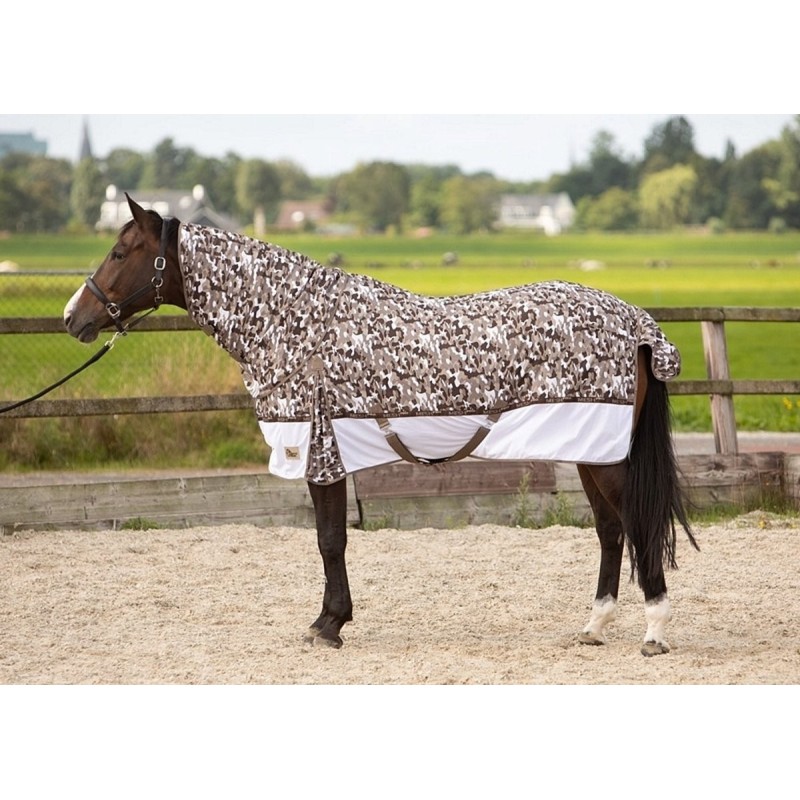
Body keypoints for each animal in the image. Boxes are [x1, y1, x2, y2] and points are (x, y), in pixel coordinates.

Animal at [64, 194, 697, 657]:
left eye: (120, 252)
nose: (74, 317)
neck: (296, 323)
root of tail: (639, 326)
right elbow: (331, 539)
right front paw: (330, 620)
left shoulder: (321, 453)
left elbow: (330, 539)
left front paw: (328, 625)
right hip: (593, 451)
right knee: (610, 531)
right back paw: (594, 627)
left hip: (608, 457)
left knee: (635, 526)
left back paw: (654, 632)